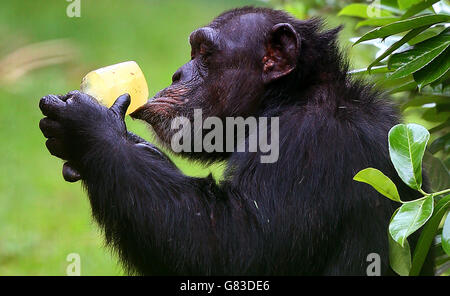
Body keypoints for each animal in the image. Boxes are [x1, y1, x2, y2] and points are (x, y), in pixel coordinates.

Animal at [37, 6, 426, 276]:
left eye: (205, 53)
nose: (178, 73)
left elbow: (233, 247)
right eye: (192, 52)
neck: (288, 98)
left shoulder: (306, 144)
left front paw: (89, 131)